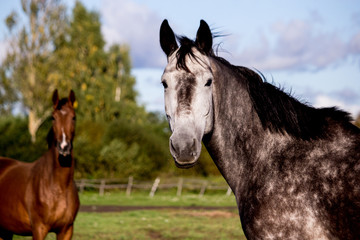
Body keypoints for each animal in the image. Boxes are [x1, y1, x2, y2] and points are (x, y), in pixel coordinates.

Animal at [0, 90, 79, 240]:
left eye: (74, 117)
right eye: (53, 118)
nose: (64, 147)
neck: (58, 186)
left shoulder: (66, 230)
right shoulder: (39, 229)